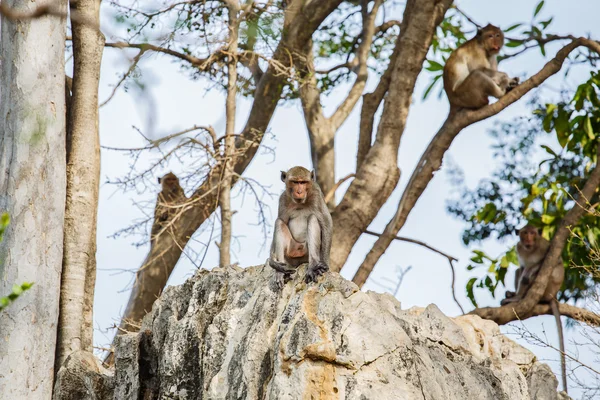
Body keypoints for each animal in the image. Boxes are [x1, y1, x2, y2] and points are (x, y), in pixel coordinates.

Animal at [502, 225, 568, 394]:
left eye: (532, 233)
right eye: (525, 233)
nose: (528, 238)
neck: (530, 249)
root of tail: (554, 295)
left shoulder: (544, 246)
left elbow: (553, 261)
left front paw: (530, 271)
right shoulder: (519, 248)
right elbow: (521, 266)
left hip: (548, 286)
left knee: (532, 275)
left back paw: (518, 296)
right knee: (519, 271)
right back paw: (514, 295)